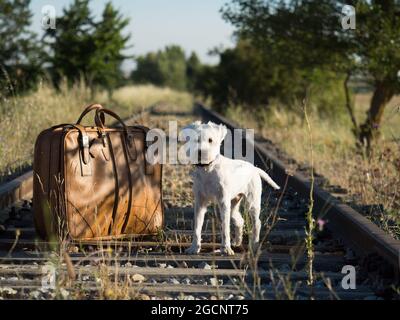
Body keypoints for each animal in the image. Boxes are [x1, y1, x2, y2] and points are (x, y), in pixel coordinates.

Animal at [180, 121, 280, 256]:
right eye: (196, 139)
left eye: (210, 140)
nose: (201, 152)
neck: (208, 169)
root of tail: (255, 169)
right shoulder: (200, 202)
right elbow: (197, 227)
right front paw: (194, 247)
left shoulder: (223, 202)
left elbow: (225, 228)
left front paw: (226, 249)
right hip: (233, 204)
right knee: (240, 221)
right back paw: (237, 242)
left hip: (251, 203)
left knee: (257, 223)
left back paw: (254, 245)